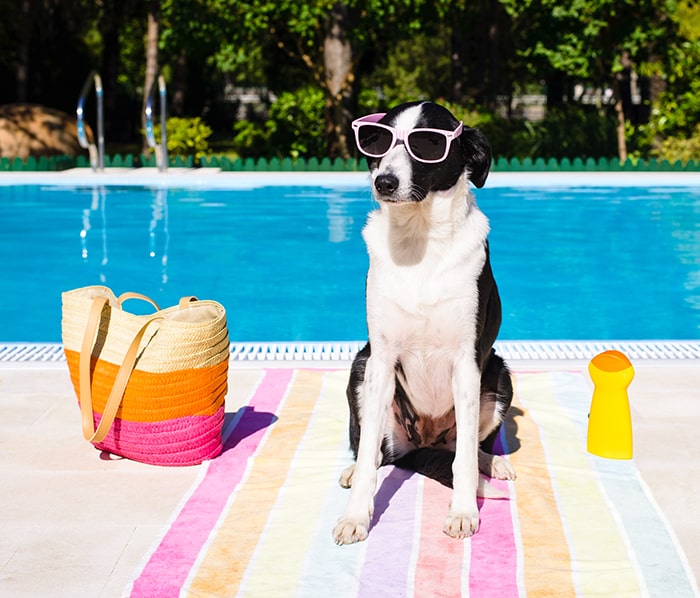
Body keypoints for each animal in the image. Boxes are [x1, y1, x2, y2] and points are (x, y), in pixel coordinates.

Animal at [330, 101, 516, 548]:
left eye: (428, 143)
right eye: (377, 140)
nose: (384, 181)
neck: (420, 239)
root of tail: (421, 443)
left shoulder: (466, 362)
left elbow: (463, 458)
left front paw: (464, 511)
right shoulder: (380, 360)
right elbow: (368, 457)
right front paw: (355, 517)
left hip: (499, 375)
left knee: (462, 448)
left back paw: (492, 463)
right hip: (359, 368)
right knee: (376, 452)